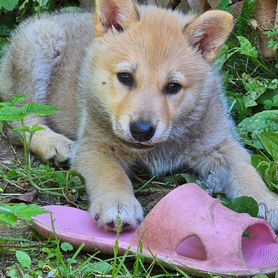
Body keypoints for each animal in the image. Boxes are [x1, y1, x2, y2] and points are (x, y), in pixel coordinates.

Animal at [0, 0, 278, 230]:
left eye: (173, 87)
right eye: (125, 77)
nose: (142, 131)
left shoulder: (221, 145)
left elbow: (246, 172)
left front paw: (267, 201)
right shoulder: (95, 146)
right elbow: (112, 175)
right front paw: (118, 204)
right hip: (38, 52)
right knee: (19, 122)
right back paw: (55, 144)